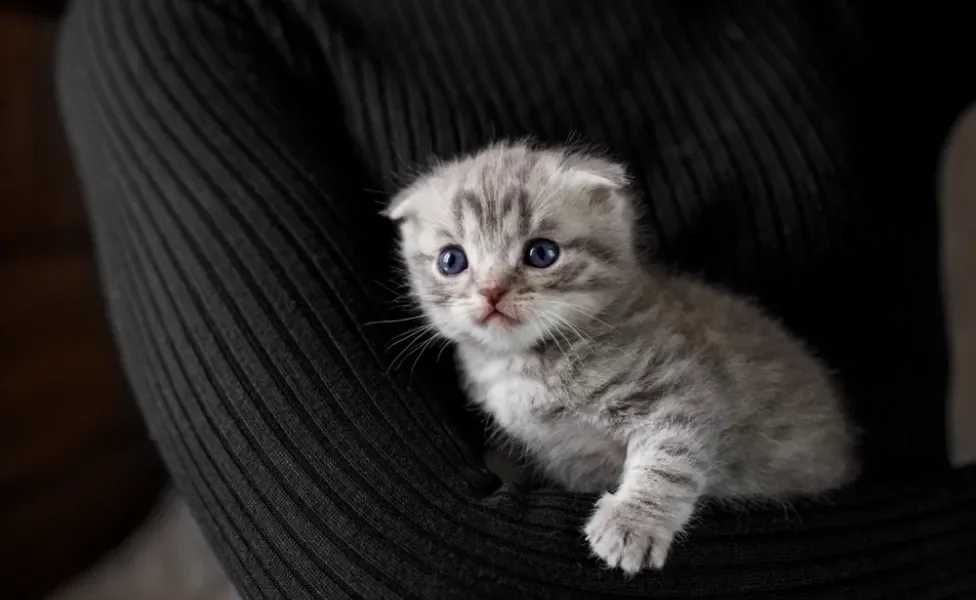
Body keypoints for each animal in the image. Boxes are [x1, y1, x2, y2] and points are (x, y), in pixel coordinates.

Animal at [382, 141, 856, 572]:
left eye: (541, 253)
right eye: (452, 260)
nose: (492, 291)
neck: (525, 362)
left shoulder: (686, 389)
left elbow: (670, 458)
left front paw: (633, 524)